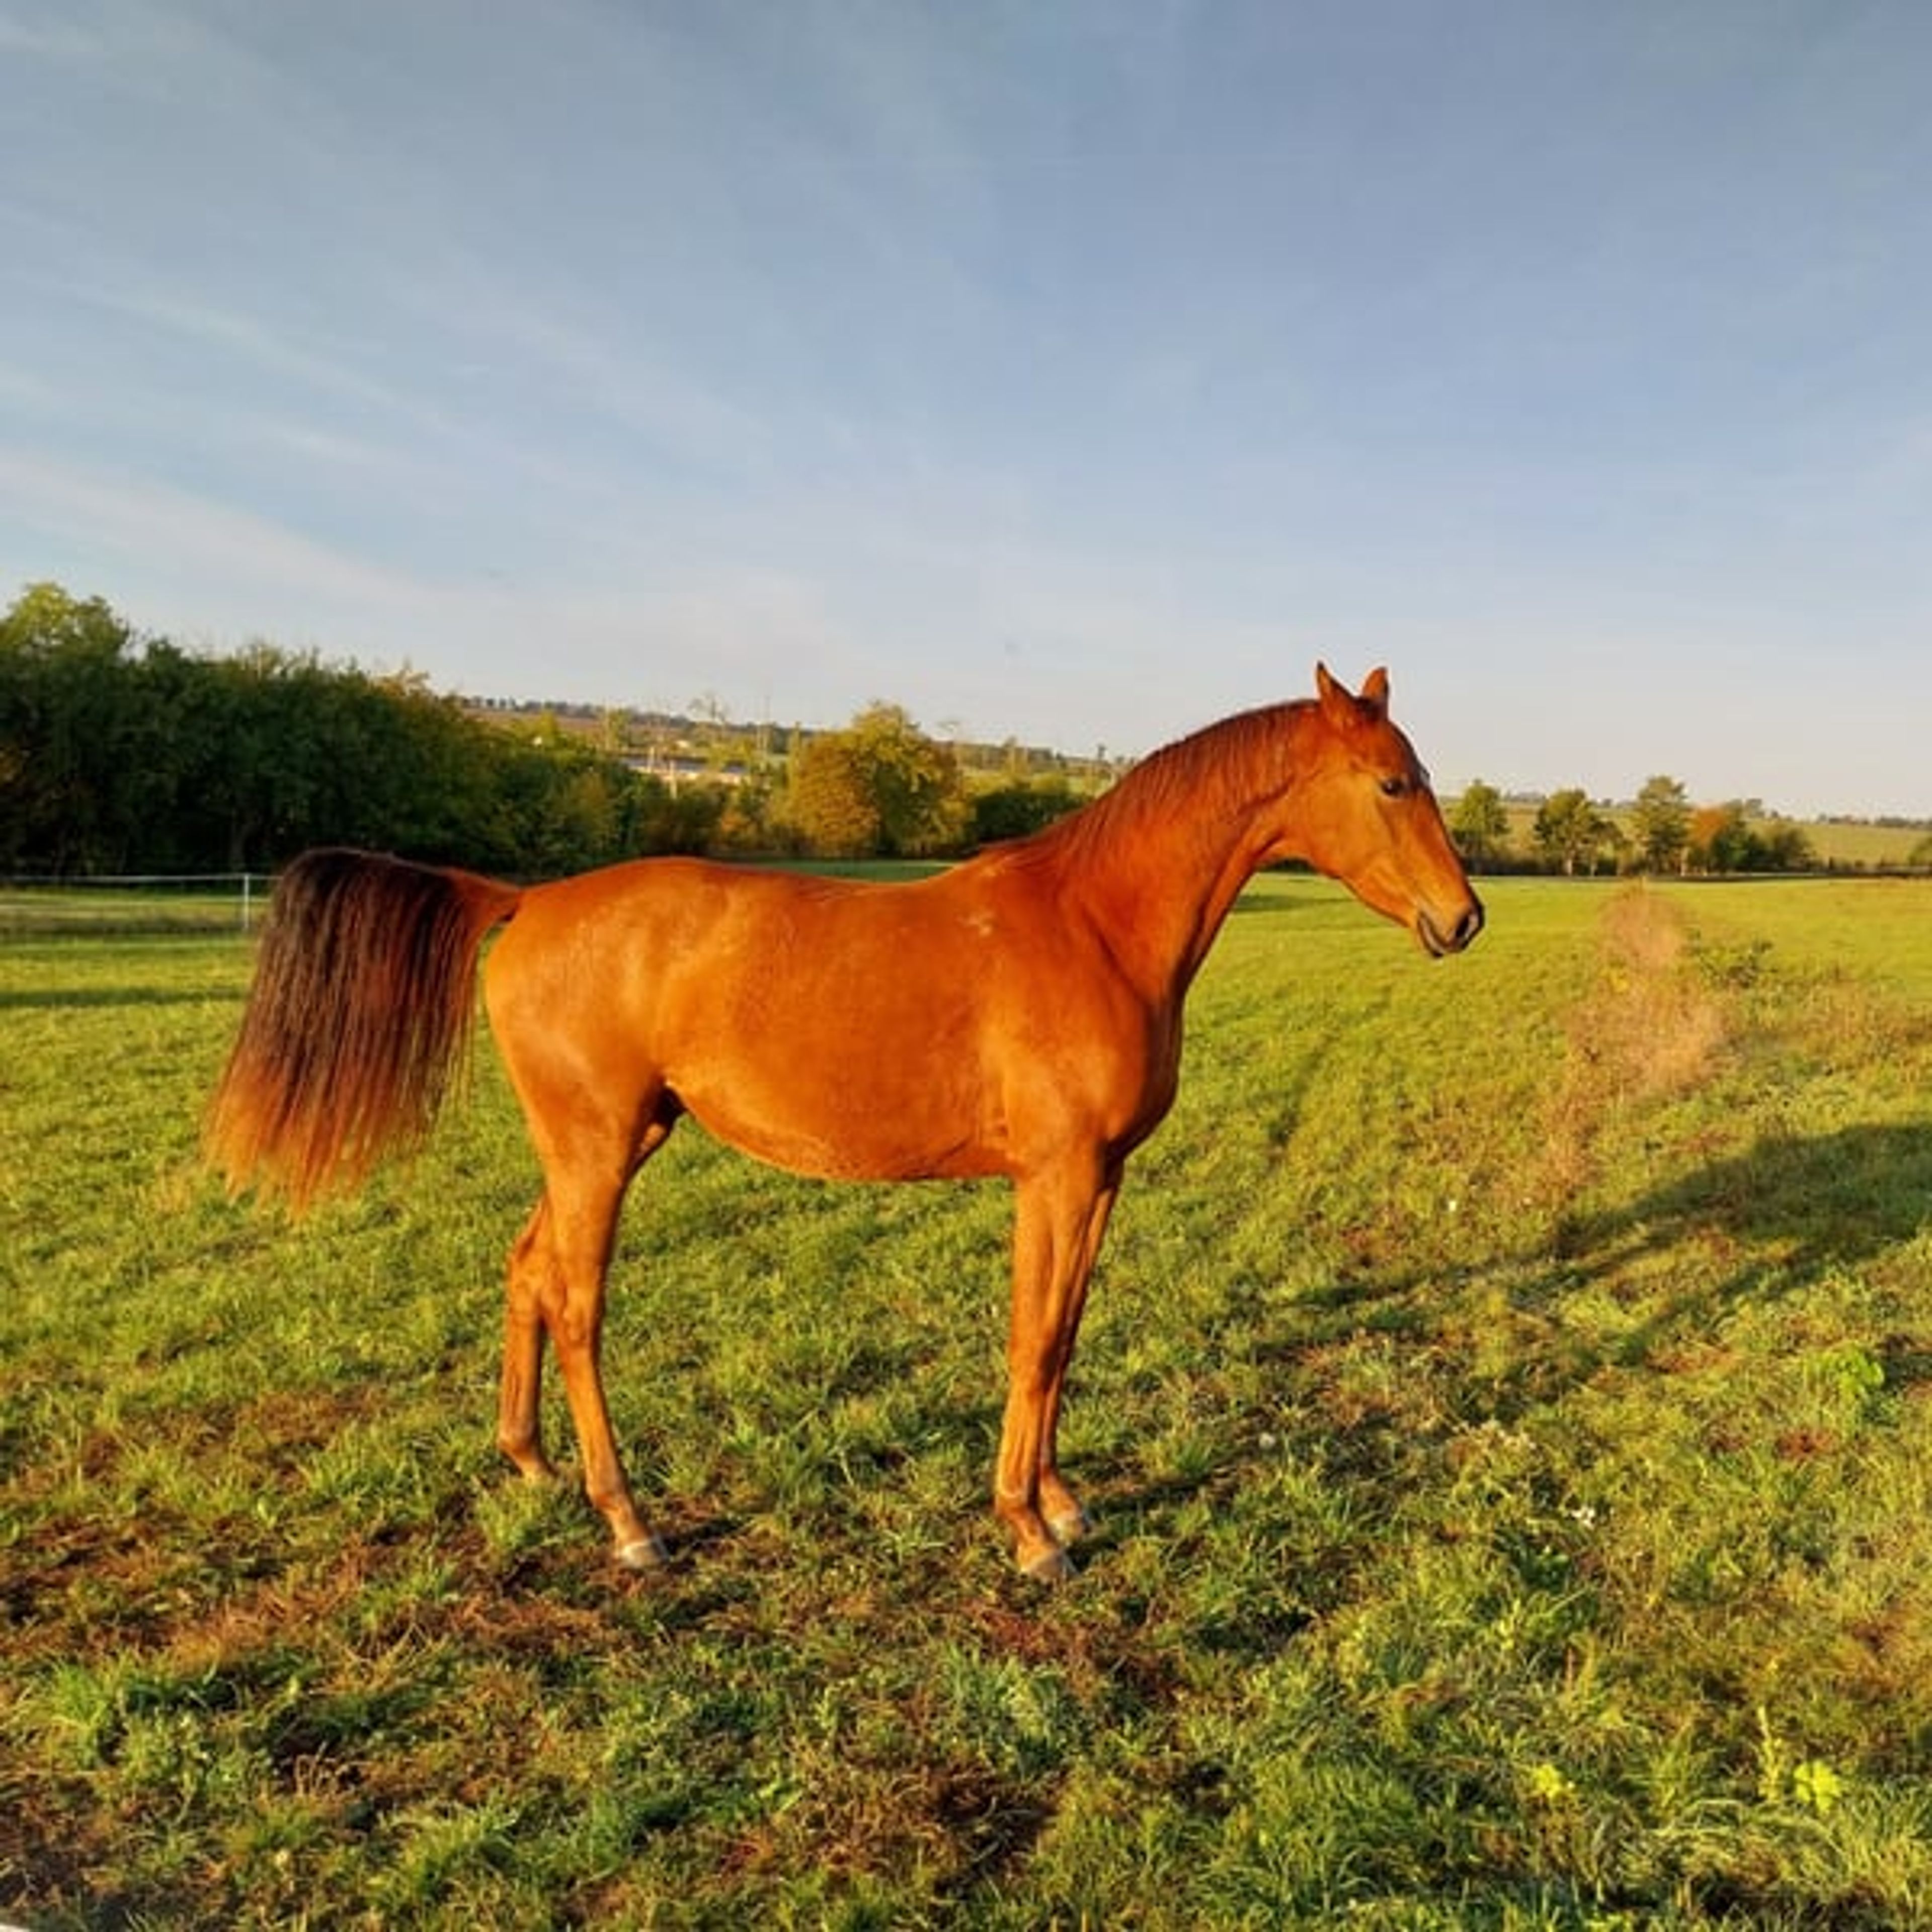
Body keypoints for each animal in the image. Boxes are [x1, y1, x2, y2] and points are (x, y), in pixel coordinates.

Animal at [206, 664, 1482, 1581]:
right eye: (1391, 784)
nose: (1463, 919)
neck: (1093, 924)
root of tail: (527, 900)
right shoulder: (1056, 1176)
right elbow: (1031, 1340)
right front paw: (1028, 1532)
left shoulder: (1101, 1179)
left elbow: (1063, 1336)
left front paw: (1063, 1502)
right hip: (597, 1151)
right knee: (576, 1304)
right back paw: (628, 1522)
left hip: (613, 1140)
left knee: (526, 1270)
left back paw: (529, 1464)